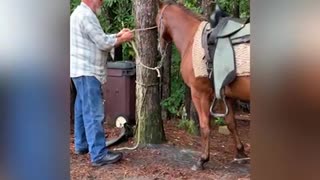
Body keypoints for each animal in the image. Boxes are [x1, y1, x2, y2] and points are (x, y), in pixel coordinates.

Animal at [156, 0, 251, 170]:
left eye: (156, 20)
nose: (159, 49)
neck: (191, 39)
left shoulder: (199, 93)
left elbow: (204, 126)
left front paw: (202, 159)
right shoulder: (224, 95)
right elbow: (231, 123)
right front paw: (240, 152)